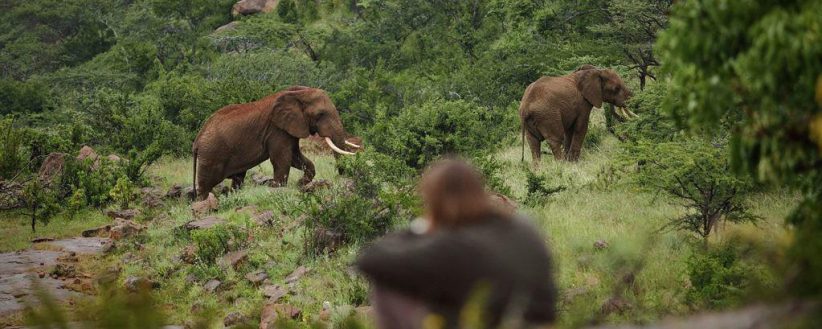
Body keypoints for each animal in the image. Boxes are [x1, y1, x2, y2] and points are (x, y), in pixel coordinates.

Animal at [195, 86, 362, 199]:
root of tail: (196, 140)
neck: (298, 92)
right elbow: (282, 158)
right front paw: (277, 187)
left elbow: (295, 157)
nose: (342, 177)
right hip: (211, 155)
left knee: (238, 178)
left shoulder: (290, 128)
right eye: (320, 114)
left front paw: (300, 184)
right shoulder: (276, 129)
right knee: (206, 185)